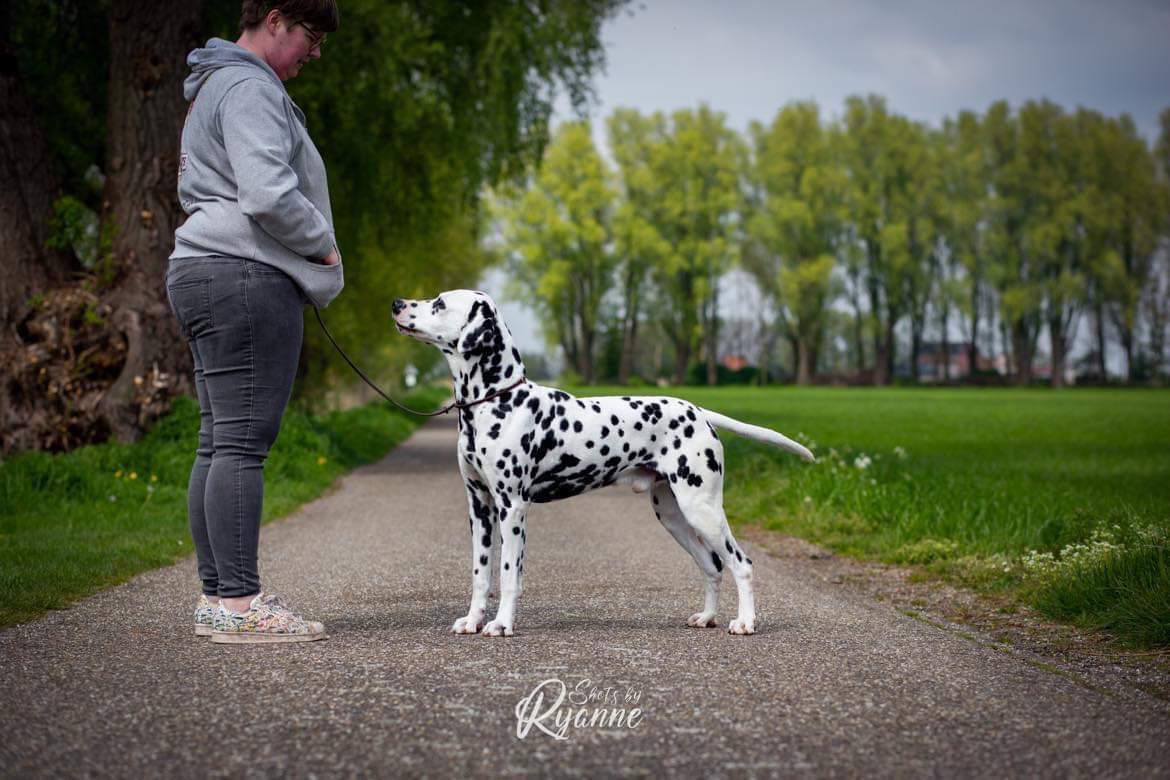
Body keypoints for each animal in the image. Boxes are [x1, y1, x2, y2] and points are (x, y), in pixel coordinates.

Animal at [393, 290, 814, 636]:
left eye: (439, 303)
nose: (396, 304)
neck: (497, 401)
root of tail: (698, 411)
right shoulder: (479, 506)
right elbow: (481, 574)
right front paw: (473, 620)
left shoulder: (512, 507)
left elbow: (509, 574)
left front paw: (501, 624)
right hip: (674, 515)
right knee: (712, 565)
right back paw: (707, 617)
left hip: (703, 510)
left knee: (741, 563)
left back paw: (745, 622)